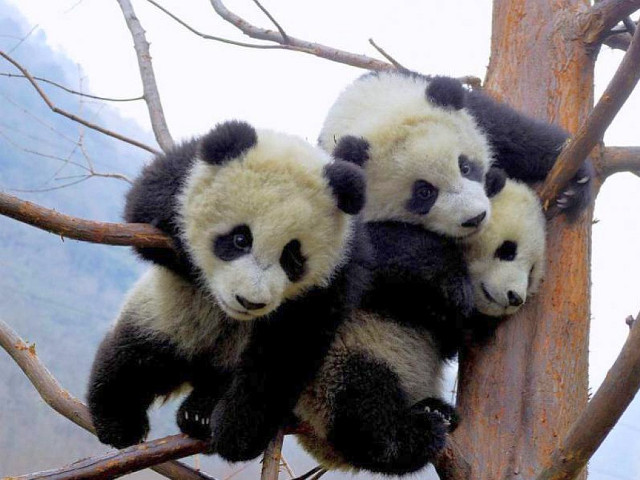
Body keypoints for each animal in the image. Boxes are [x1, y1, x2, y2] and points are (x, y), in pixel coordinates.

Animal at [86, 120, 371, 463]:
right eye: (240, 239)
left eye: (292, 257)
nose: (249, 301)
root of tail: (194, 370)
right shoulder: (180, 178)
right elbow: (143, 208)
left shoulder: (335, 277)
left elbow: (285, 352)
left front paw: (237, 434)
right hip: (161, 316)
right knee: (131, 358)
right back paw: (119, 420)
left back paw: (200, 413)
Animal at [293, 176, 547, 475]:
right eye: (507, 250)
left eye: (532, 273)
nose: (514, 297)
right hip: (338, 359)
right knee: (361, 399)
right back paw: (414, 435)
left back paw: (438, 411)